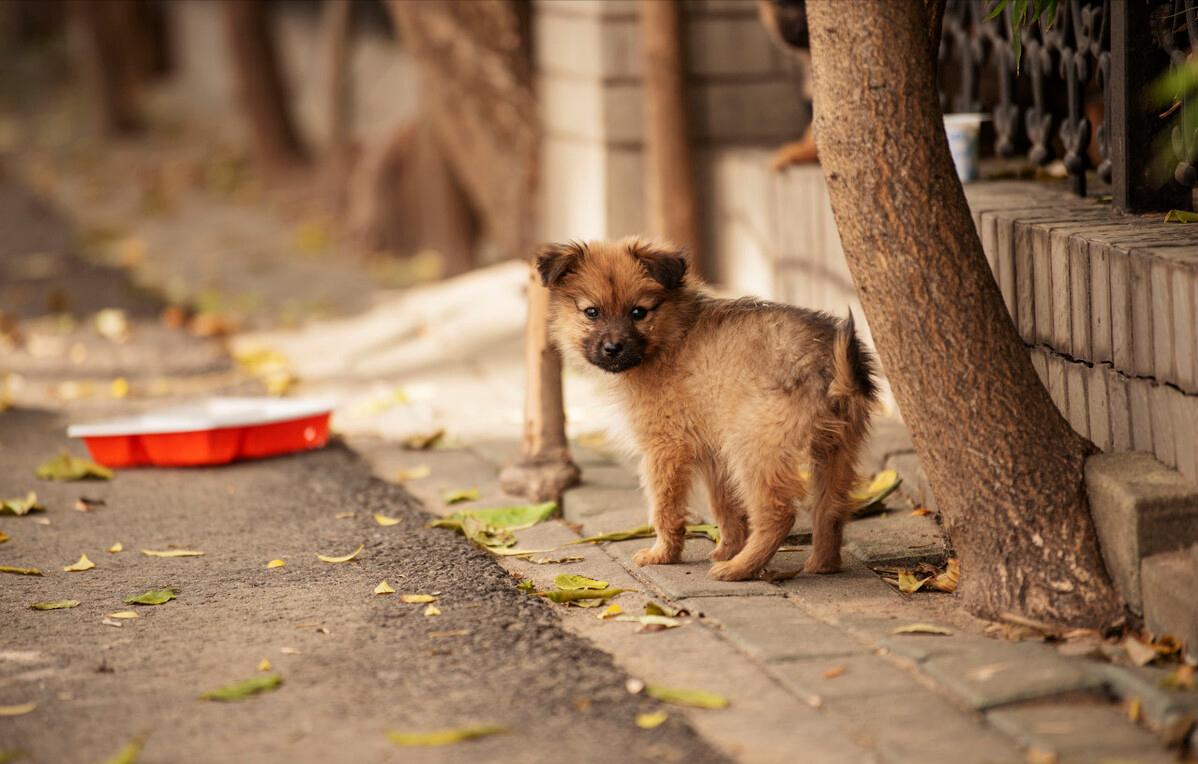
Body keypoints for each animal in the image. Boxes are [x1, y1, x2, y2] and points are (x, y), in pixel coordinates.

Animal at [539, 238, 876, 579]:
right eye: (591, 312)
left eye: (638, 312)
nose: (613, 349)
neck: (669, 336)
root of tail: (830, 363)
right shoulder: (715, 454)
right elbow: (723, 506)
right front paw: (726, 547)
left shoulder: (665, 447)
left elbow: (664, 508)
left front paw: (663, 554)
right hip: (836, 448)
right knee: (830, 510)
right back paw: (822, 564)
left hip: (754, 448)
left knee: (778, 513)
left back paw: (739, 569)